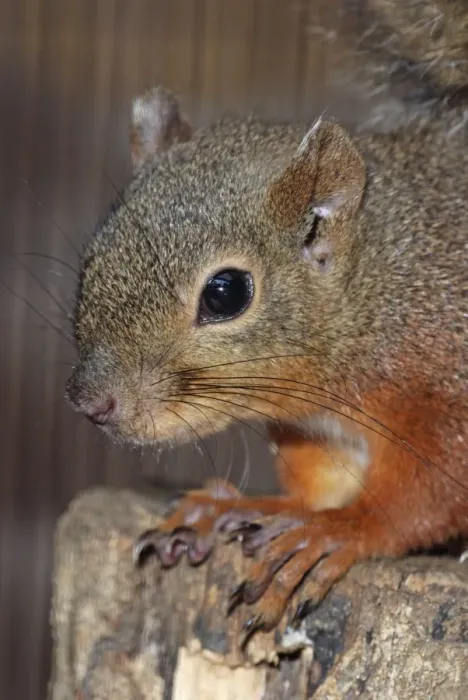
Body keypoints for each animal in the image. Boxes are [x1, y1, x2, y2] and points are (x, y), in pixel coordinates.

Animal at [66, 2, 468, 644]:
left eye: (226, 293)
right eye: (93, 258)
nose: (89, 401)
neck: (375, 295)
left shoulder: (448, 388)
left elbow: (427, 494)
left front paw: (340, 530)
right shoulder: (314, 431)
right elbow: (318, 482)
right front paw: (244, 509)